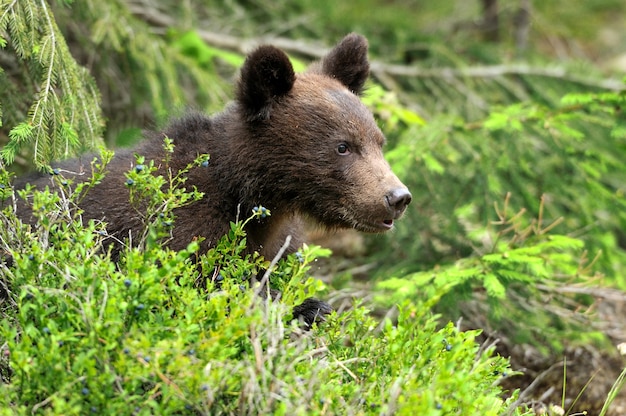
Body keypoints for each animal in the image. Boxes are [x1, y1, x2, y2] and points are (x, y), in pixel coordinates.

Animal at [12, 32, 410, 324]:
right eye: (343, 146)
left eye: (378, 142)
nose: (397, 196)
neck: (249, 194)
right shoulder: (177, 230)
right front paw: (296, 308)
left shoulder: (278, 240)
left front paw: (313, 306)